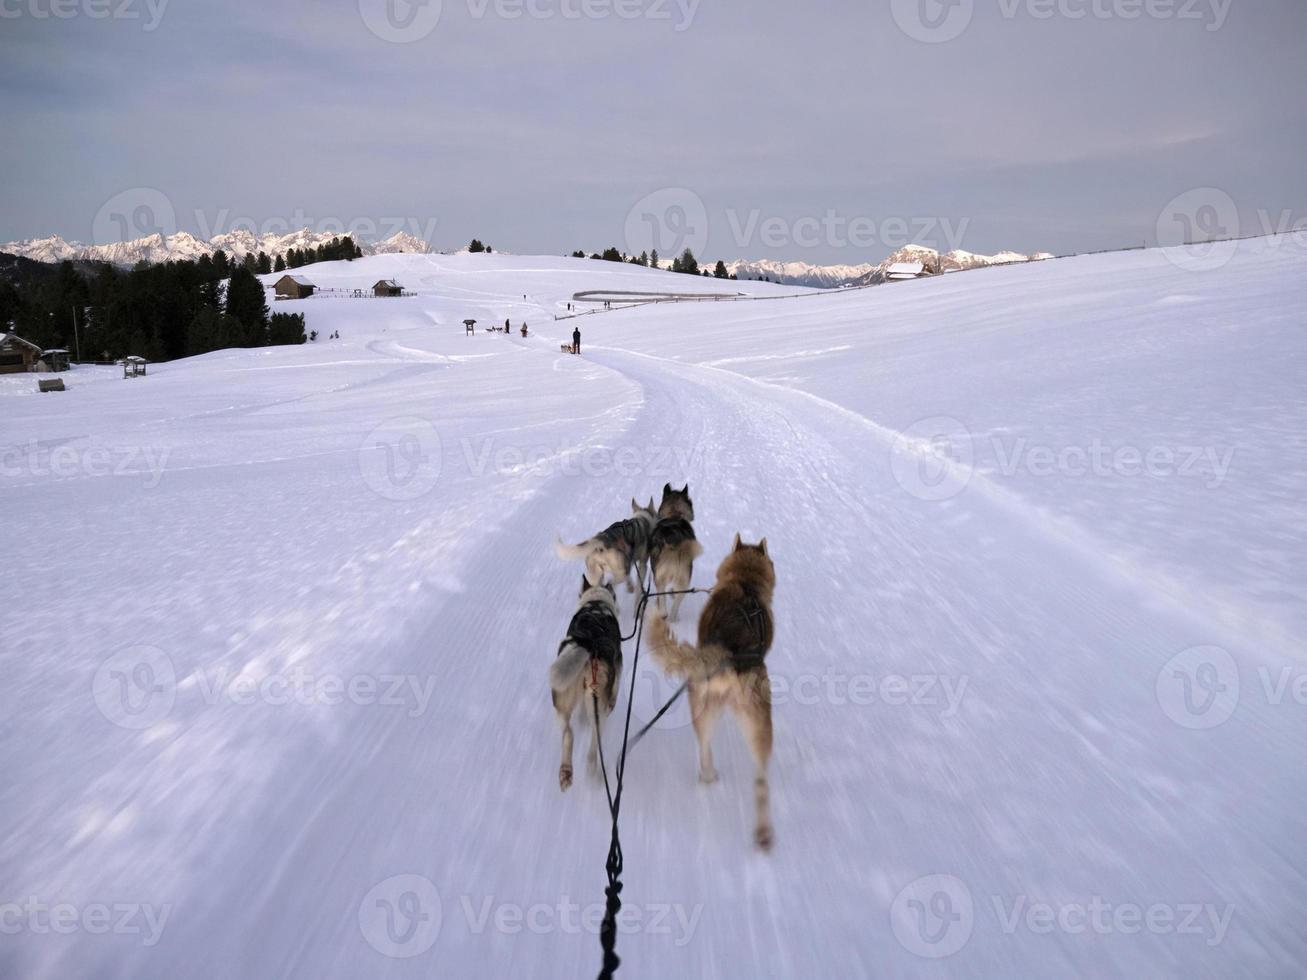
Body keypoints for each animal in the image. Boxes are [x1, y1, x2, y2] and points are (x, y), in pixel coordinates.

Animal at [548, 580, 624, 794]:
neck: (596, 603)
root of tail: (589, 644)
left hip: (562, 701)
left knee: (568, 734)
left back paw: (566, 772)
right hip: (600, 713)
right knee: (593, 748)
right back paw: (593, 772)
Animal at [645, 486, 700, 621]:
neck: (674, 513)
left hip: (661, 577)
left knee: (662, 597)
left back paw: (664, 613)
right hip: (683, 580)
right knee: (676, 600)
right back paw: (672, 616)